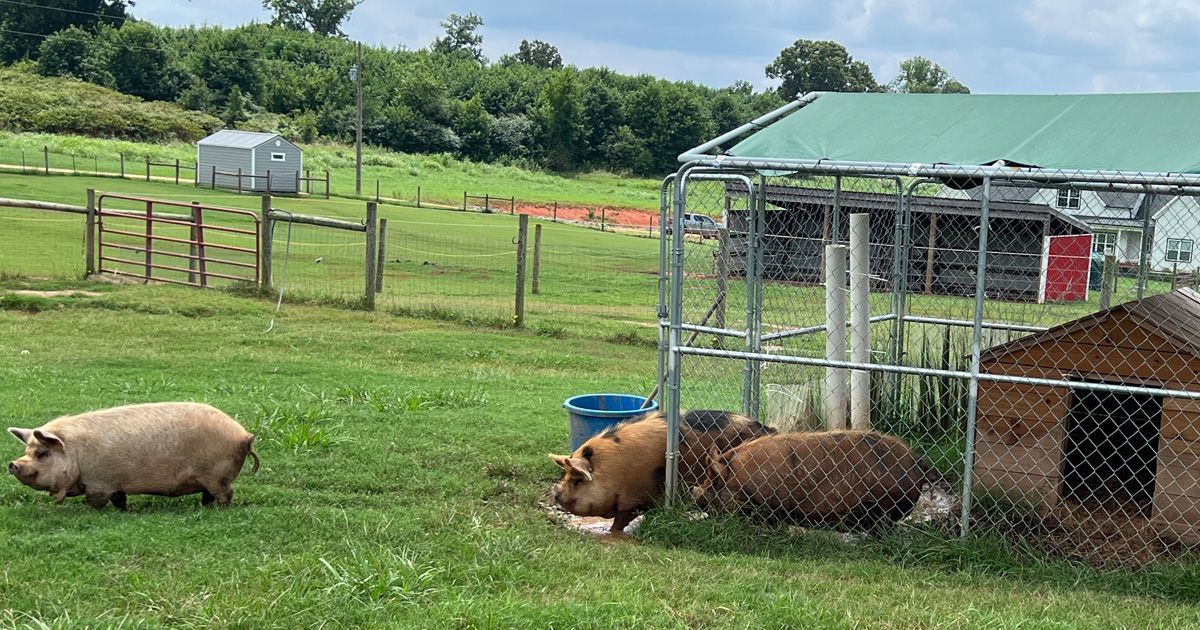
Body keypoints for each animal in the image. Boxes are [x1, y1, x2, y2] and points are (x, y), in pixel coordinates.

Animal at [7, 402, 260, 510]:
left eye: (42, 453)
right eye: (26, 452)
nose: (12, 464)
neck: (76, 453)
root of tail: (244, 436)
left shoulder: (99, 483)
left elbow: (95, 502)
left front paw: (89, 512)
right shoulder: (115, 484)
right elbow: (120, 499)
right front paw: (123, 510)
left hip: (217, 475)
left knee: (226, 494)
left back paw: (217, 510)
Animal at [549, 409, 776, 533]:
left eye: (578, 479)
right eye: (566, 474)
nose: (555, 492)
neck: (614, 470)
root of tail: (769, 430)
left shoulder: (635, 498)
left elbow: (620, 522)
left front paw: (612, 534)